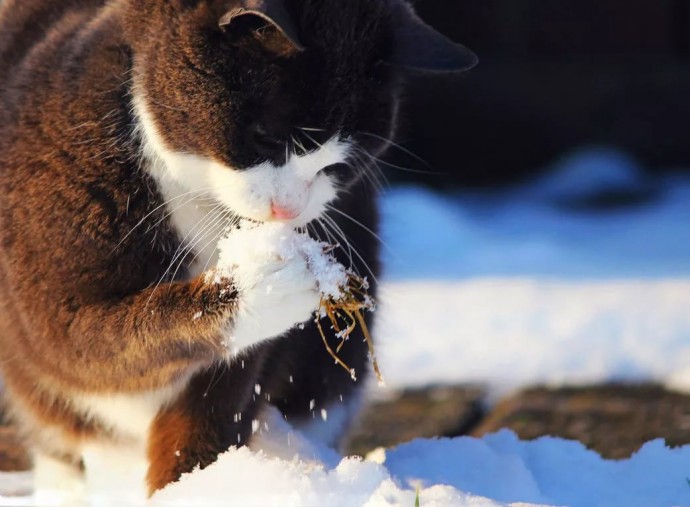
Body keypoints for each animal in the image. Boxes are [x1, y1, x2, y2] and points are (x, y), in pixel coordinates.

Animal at [0, 0, 472, 500]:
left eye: (339, 162)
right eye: (267, 136)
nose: (288, 209)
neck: (201, 197)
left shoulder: (237, 372)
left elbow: (214, 405)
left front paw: (193, 487)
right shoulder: (48, 300)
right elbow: (83, 345)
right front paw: (270, 283)